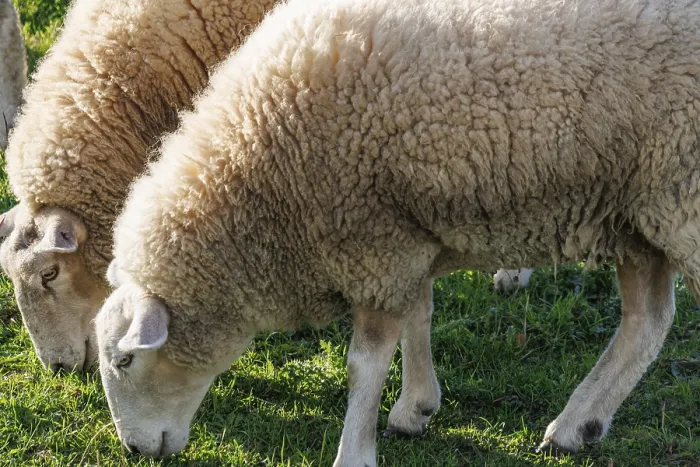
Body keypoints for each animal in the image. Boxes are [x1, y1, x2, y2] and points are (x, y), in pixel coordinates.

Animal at [95, 0, 700, 463]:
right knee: (647, 321)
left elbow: (364, 364)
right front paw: (417, 406)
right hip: (636, 211)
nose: (135, 450)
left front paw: (354, 451)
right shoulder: (402, 235)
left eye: (124, 361)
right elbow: (419, 316)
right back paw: (579, 424)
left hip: (678, 197)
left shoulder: (372, 241)